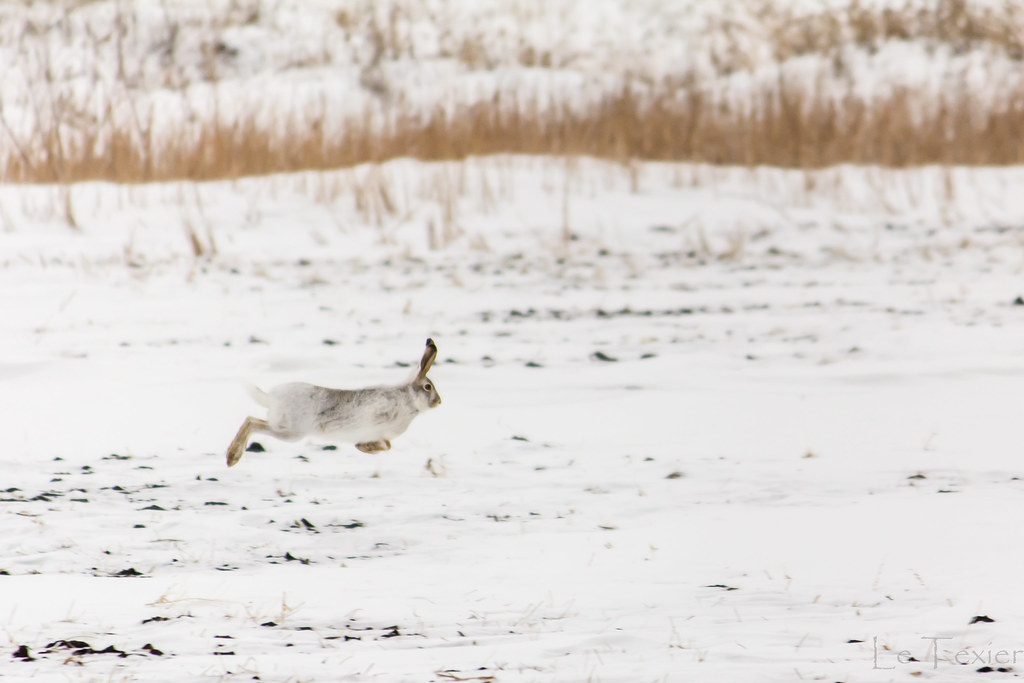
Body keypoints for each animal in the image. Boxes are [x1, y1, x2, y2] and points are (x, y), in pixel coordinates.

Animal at [226, 338, 441, 467]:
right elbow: (384, 444)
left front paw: (364, 448)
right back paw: (232, 457)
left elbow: (386, 445)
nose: (439, 402)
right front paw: (364, 447)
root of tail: (272, 397)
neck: (408, 398)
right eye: (428, 387)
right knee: (252, 421)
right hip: (290, 432)